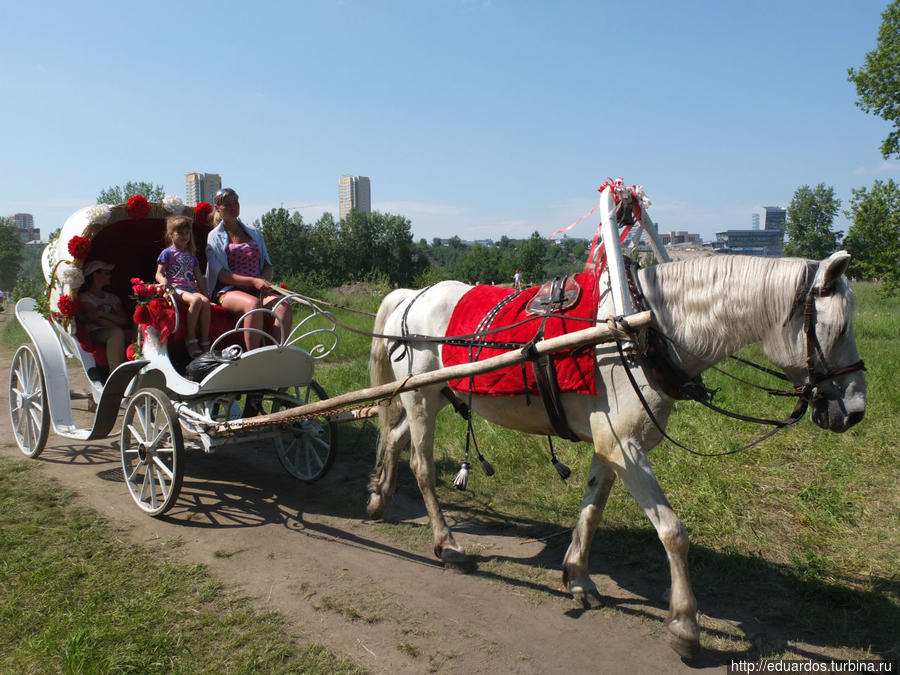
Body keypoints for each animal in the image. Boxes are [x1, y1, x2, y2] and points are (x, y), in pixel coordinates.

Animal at [364, 251, 864, 656]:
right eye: (838, 329)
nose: (856, 411)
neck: (641, 329)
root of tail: (413, 295)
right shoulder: (624, 445)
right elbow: (673, 533)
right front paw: (685, 625)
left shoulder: (611, 443)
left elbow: (592, 508)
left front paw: (578, 576)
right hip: (423, 397)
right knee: (421, 466)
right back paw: (446, 542)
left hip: (433, 396)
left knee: (394, 438)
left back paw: (378, 498)